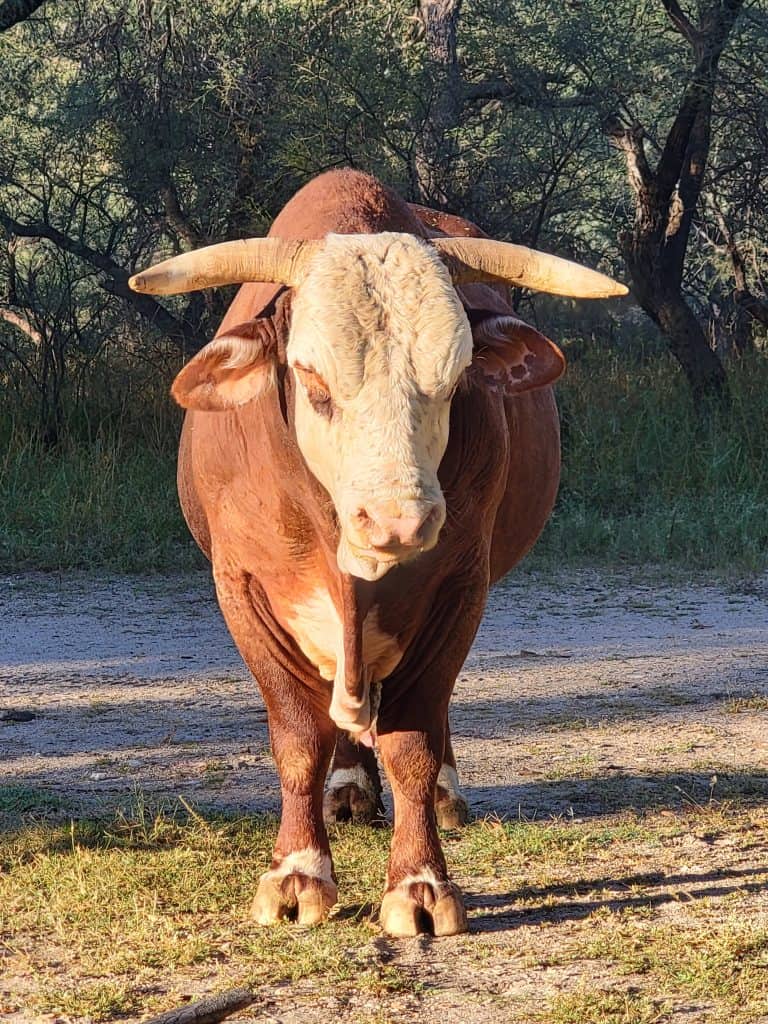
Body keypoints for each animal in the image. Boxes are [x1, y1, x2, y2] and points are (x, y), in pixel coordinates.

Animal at [129, 169, 625, 937]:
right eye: (312, 381)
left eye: (455, 379)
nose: (399, 521)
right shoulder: (242, 587)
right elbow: (299, 738)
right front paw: (298, 872)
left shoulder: (460, 588)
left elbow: (413, 739)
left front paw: (420, 883)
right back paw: (348, 790)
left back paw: (444, 795)